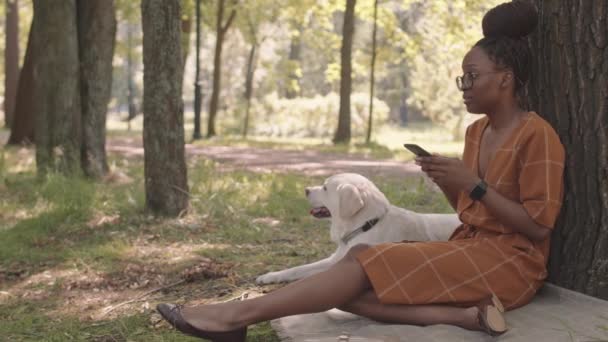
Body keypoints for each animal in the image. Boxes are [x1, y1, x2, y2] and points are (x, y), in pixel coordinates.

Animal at [256, 172, 460, 284]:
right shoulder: (334, 259)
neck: (365, 225)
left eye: (325, 188)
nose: (305, 189)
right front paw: (270, 276)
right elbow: (298, 268)